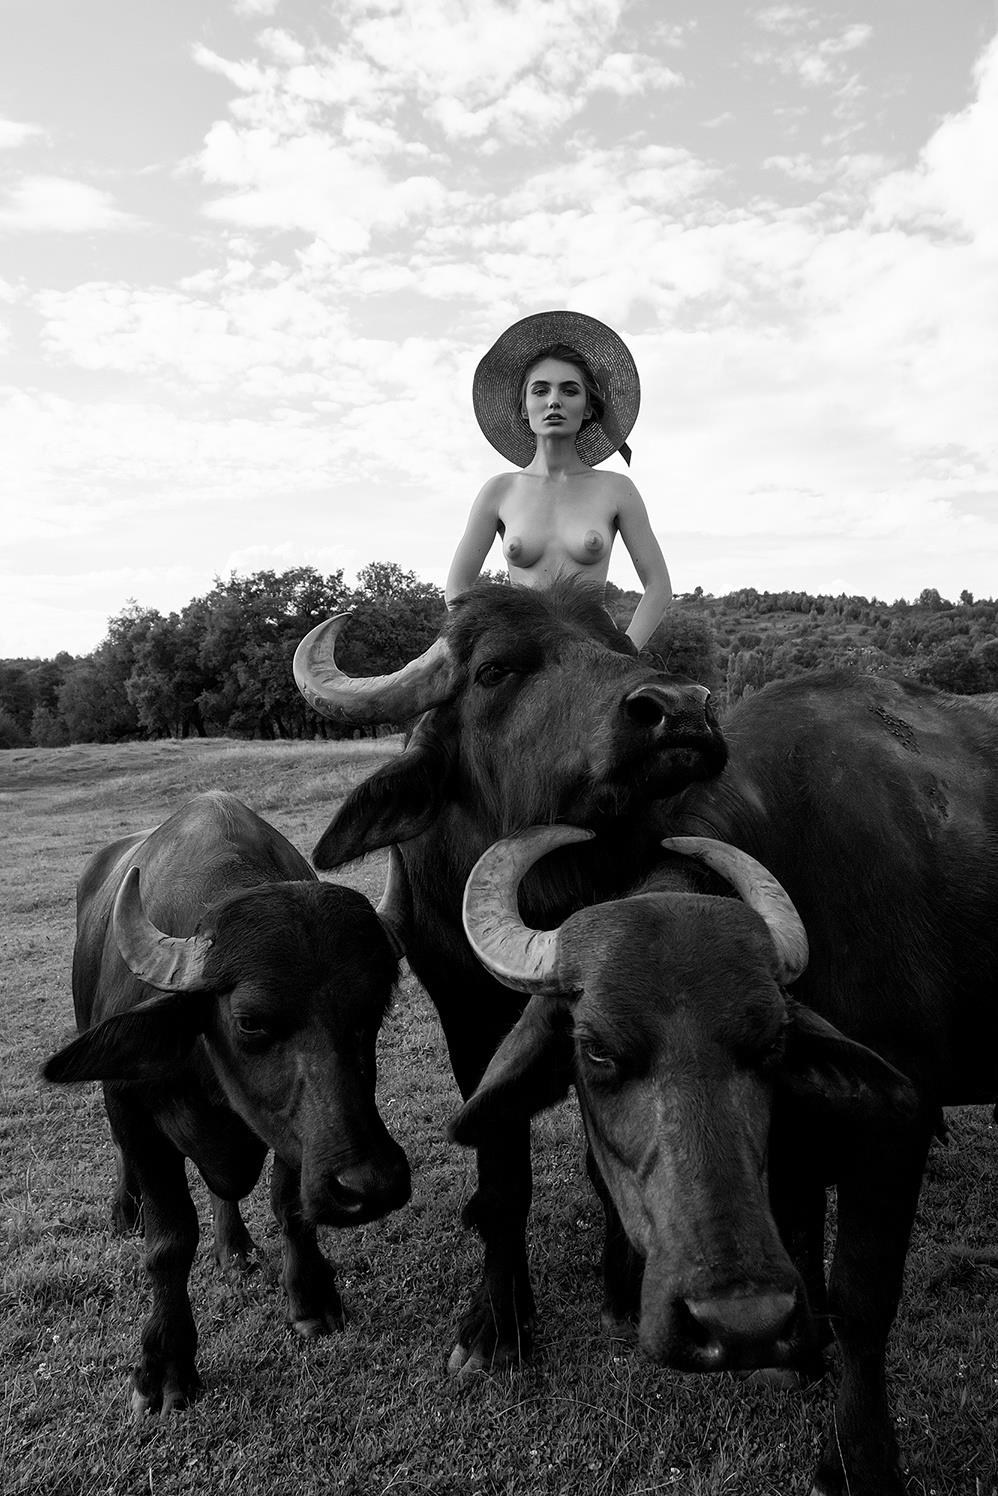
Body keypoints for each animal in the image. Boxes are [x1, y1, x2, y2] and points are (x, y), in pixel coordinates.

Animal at [43, 790, 411, 1414]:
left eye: (373, 1010)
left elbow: (290, 1206)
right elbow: (169, 1241)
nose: (371, 1184)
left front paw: (311, 1300)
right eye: (250, 1022)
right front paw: (165, 1367)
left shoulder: (291, 1133)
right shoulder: (133, 1110)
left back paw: (234, 1247)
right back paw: (123, 1210)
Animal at [294, 580, 728, 1373]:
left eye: (614, 646)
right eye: (495, 670)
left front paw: (624, 1283)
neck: (543, 891)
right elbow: (500, 1172)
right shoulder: (464, 1013)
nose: (681, 708)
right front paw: (495, 1324)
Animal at [453, 670, 998, 1496]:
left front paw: (858, 1457)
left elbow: (863, 1297)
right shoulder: (796, 1142)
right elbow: (799, 1235)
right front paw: (794, 1358)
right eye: (596, 1051)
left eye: (769, 1039)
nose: (737, 1323)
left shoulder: (896, 1128)